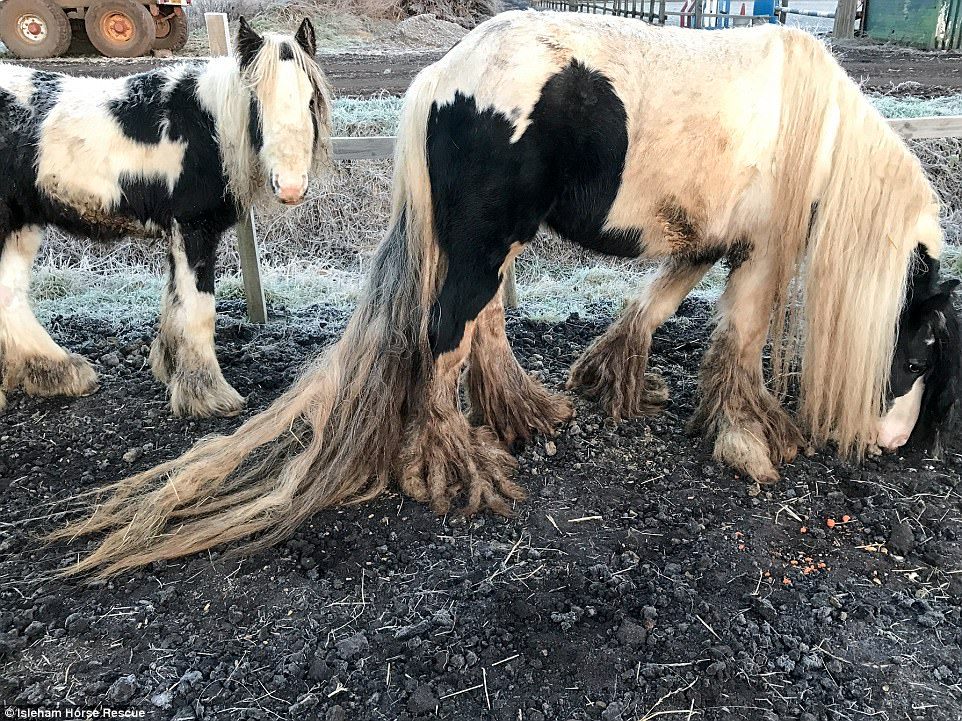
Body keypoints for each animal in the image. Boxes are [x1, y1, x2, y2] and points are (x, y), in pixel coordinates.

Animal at [0, 18, 332, 416]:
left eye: (310, 98)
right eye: (256, 101)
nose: (291, 186)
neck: (208, 128)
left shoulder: (178, 234)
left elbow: (175, 303)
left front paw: (173, 368)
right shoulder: (194, 229)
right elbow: (199, 310)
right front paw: (208, 395)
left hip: (21, 225)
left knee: (10, 295)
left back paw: (57, 373)